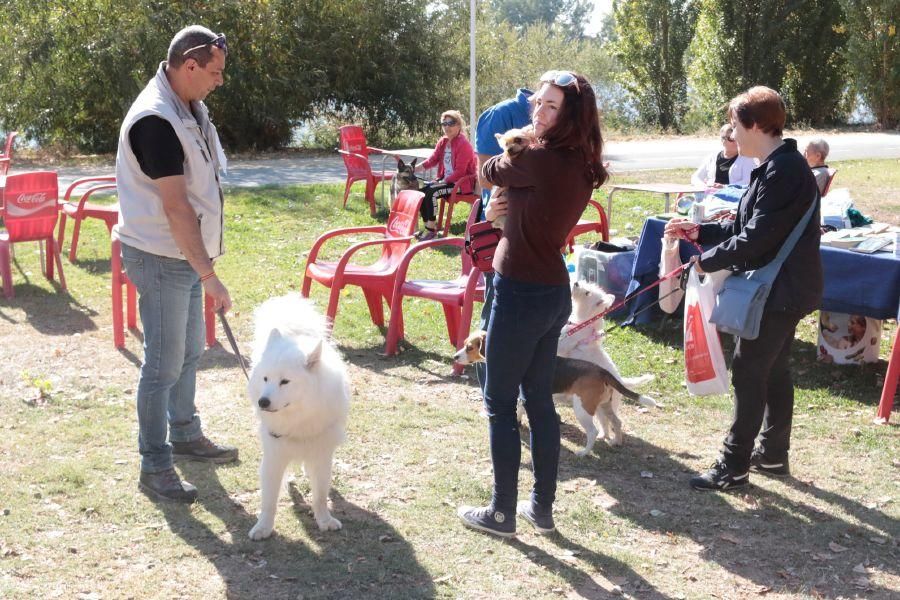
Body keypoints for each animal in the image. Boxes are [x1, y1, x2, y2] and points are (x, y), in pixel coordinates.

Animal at [248, 294, 350, 540]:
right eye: (266, 379)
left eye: (285, 381)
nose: (262, 402)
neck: (298, 418)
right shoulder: (274, 455)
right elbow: (269, 500)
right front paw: (263, 527)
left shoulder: (321, 453)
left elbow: (320, 495)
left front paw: (324, 521)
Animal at [458, 330, 652, 452]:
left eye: (470, 347)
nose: (455, 356)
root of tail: (602, 371)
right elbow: (520, 410)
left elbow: (518, 411)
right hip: (604, 406)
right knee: (617, 423)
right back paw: (616, 442)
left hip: (582, 409)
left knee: (593, 432)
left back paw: (583, 453)